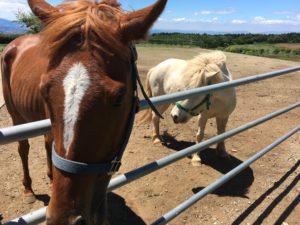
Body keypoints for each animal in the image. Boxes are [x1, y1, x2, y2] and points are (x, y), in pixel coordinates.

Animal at [0, 0, 166, 225]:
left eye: (119, 98)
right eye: (44, 91)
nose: (63, 219)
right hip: (16, 117)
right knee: (23, 148)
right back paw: (28, 190)